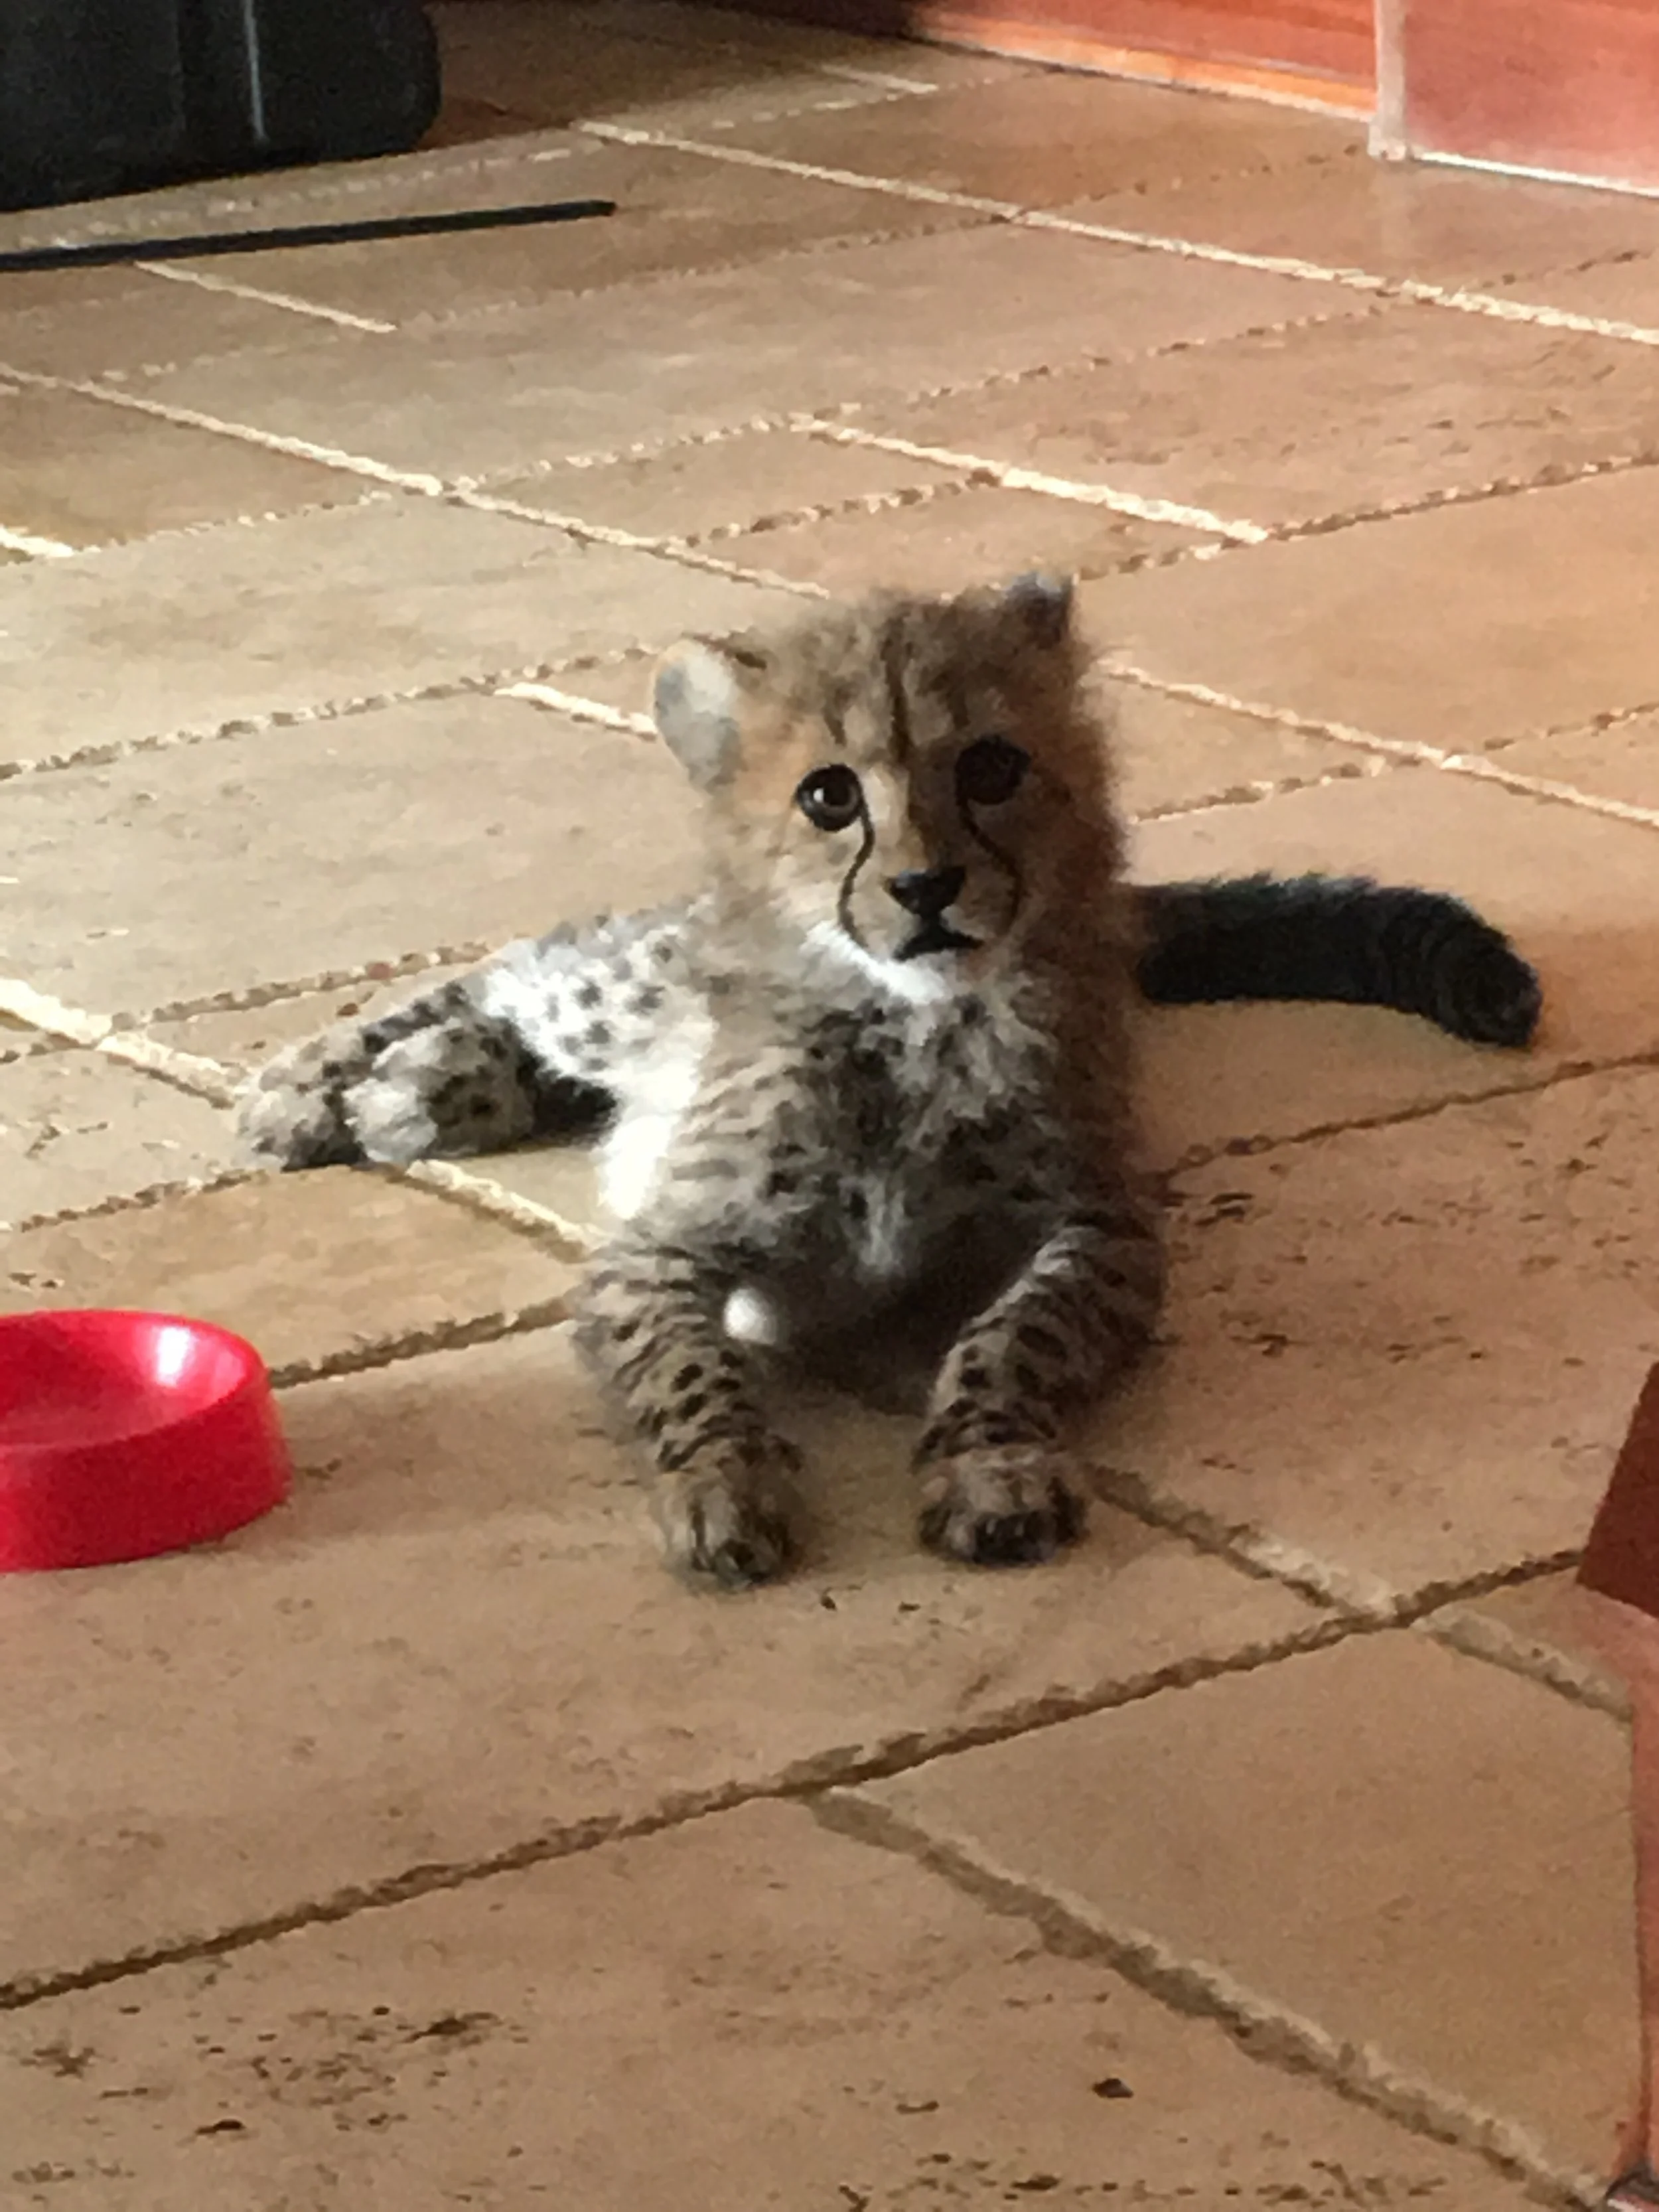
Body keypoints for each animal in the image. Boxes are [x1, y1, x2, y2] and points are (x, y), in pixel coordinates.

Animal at [238, 574, 1541, 1589]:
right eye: (831, 794)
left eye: (994, 767)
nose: (926, 886)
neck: (917, 1029)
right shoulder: (659, 1248)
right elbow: (691, 1367)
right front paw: (724, 1481)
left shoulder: (1099, 1229)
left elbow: (1016, 1338)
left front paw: (990, 1463)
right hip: (632, 986)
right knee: (517, 969)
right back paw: (325, 1080)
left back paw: (433, 1087)